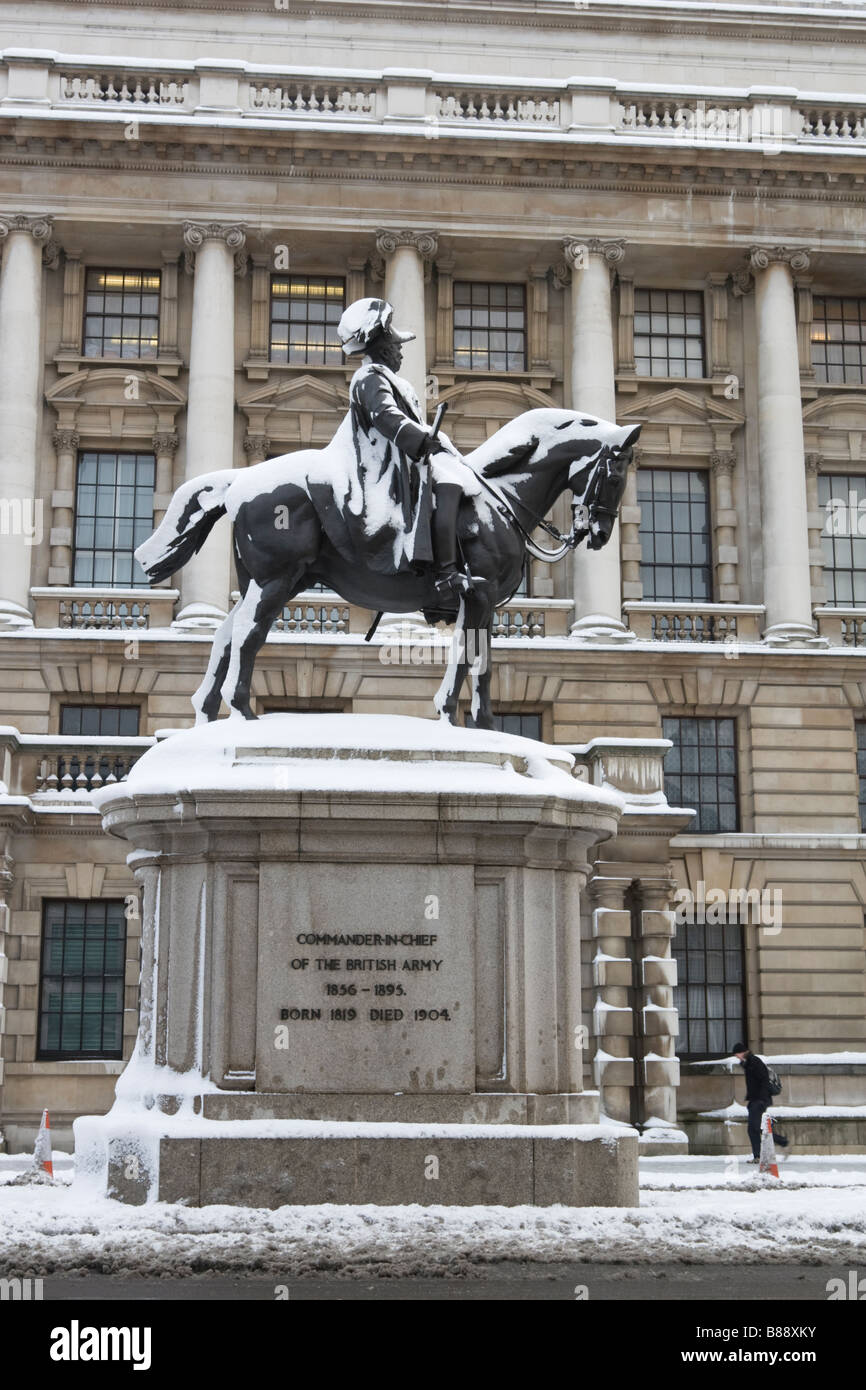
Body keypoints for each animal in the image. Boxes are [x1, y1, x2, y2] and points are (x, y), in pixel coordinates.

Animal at [135, 405, 636, 728]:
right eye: (616, 475)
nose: (598, 533)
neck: (499, 497)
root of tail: (241, 477)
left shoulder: (481, 602)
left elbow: (475, 660)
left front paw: (474, 722)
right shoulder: (479, 592)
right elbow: (470, 658)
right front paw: (461, 716)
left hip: (270, 581)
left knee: (223, 633)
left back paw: (206, 713)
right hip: (275, 580)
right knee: (246, 634)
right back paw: (241, 711)